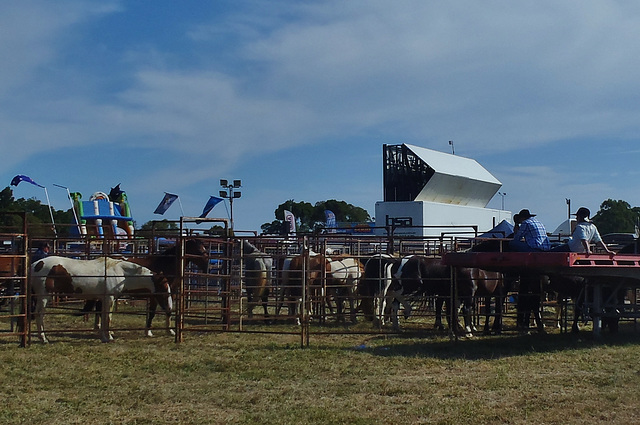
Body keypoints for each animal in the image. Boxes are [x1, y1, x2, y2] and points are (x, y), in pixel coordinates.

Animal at [31, 255, 171, 342]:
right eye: (164, 288)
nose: (169, 309)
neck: (120, 272)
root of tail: (35, 265)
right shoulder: (109, 298)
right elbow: (107, 317)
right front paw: (108, 337)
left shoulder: (103, 299)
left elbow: (103, 317)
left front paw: (104, 337)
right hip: (44, 296)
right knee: (39, 314)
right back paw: (43, 338)